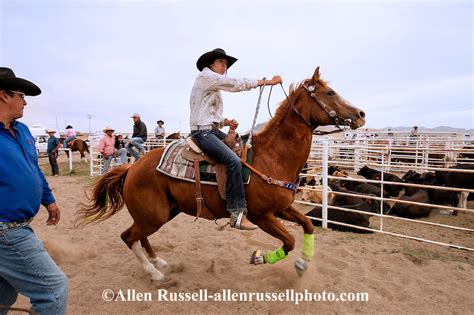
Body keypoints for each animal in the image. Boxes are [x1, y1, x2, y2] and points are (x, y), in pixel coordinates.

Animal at [78, 68, 366, 286]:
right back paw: (155, 273)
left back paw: (158, 262)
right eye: (330, 93)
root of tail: (132, 168)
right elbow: (289, 240)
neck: (273, 156)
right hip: (154, 215)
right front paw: (260, 258)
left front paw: (303, 264)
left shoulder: (282, 208)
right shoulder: (261, 216)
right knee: (128, 237)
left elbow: (306, 226)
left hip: (160, 213)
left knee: (139, 235)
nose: (361, 114)